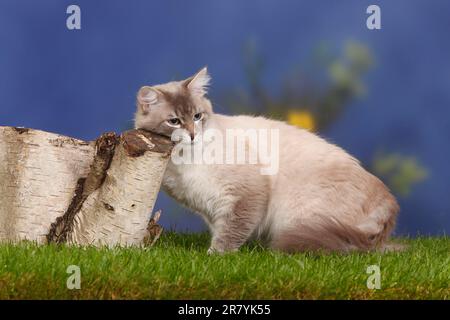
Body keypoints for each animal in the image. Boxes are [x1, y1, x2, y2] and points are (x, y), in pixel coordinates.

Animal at [133, 68, 398, 255]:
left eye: (197, 117)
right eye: (174, 121)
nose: (192, 135)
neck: (185, 160)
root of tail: (389, 203)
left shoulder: (245, 196)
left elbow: (231, 232)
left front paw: (215, 255)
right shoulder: (210, 207)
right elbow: (221, 228)